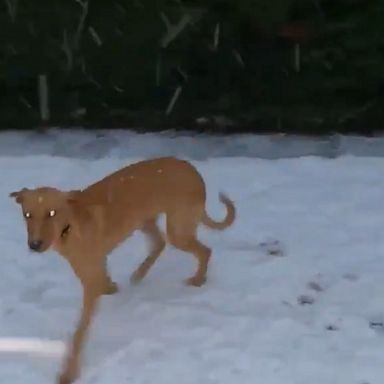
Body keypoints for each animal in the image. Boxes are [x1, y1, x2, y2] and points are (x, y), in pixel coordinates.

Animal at [9, 157, 236, 384]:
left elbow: (79, 333)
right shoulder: (97, 265)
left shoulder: (90, 284)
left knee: (204, 251)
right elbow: (105, 281)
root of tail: (194, 170)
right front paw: (111, 288)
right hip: (145, 220)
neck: (70, 226)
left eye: (52, 213)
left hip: (178, 230)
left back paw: (199, 279)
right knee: (160, 243)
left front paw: (69, 372)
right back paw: (139, 274)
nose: (34, 245)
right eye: (27, 215)